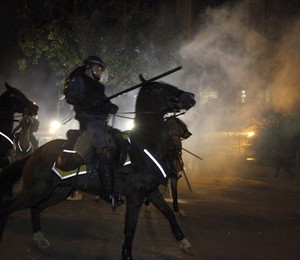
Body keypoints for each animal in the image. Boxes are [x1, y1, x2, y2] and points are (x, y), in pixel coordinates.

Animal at [0, 80, 196, 258]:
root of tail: (36, 152)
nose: (191, 96)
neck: (144, 145)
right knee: (10, 207)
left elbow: (169, 213)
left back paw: (39, 240)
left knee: (36, 209)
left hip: (58, 191)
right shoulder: (136, 196)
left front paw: (184, 242)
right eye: (160, 88)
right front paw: (127, 254)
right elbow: (130, 228)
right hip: (36, 191)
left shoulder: (151, 192)